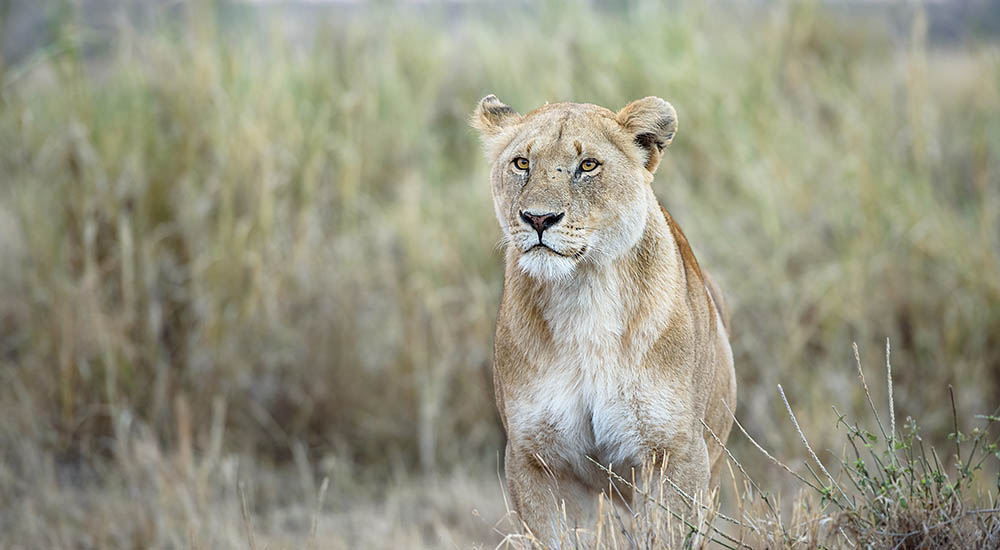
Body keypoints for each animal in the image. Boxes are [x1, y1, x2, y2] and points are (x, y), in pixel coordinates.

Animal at [471, 94, 737, 542]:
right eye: (522, 163)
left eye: (588, 165)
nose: (538, 219)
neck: (583, 294)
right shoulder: (535, 459)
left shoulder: (674, 453)